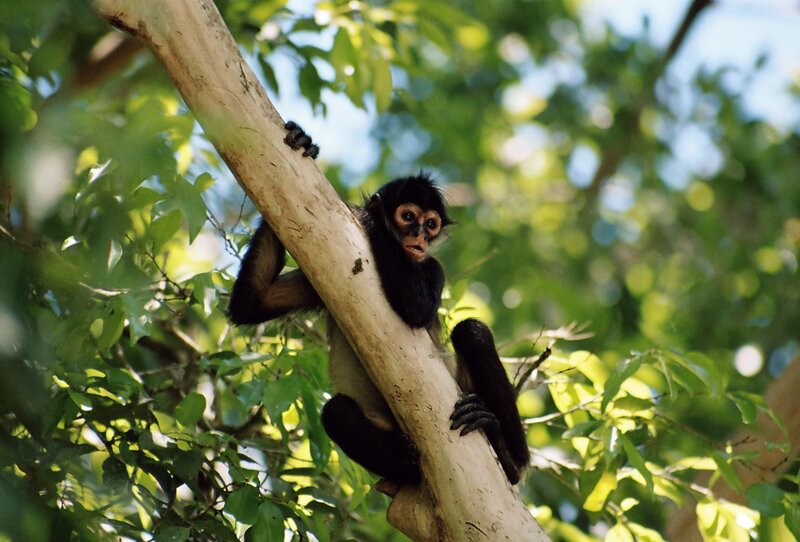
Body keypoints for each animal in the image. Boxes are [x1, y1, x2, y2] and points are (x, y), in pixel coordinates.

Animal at [229, 121, 529, 486]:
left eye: (431, 224)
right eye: (408, 216)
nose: (419, 236)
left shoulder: (433, 267)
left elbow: (418, 311)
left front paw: (374, 220)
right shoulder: (316, 284)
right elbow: (252, 302)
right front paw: (303, 141)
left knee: (472, 331)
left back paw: (509, 458)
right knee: (336, 412)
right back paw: (406, 465)